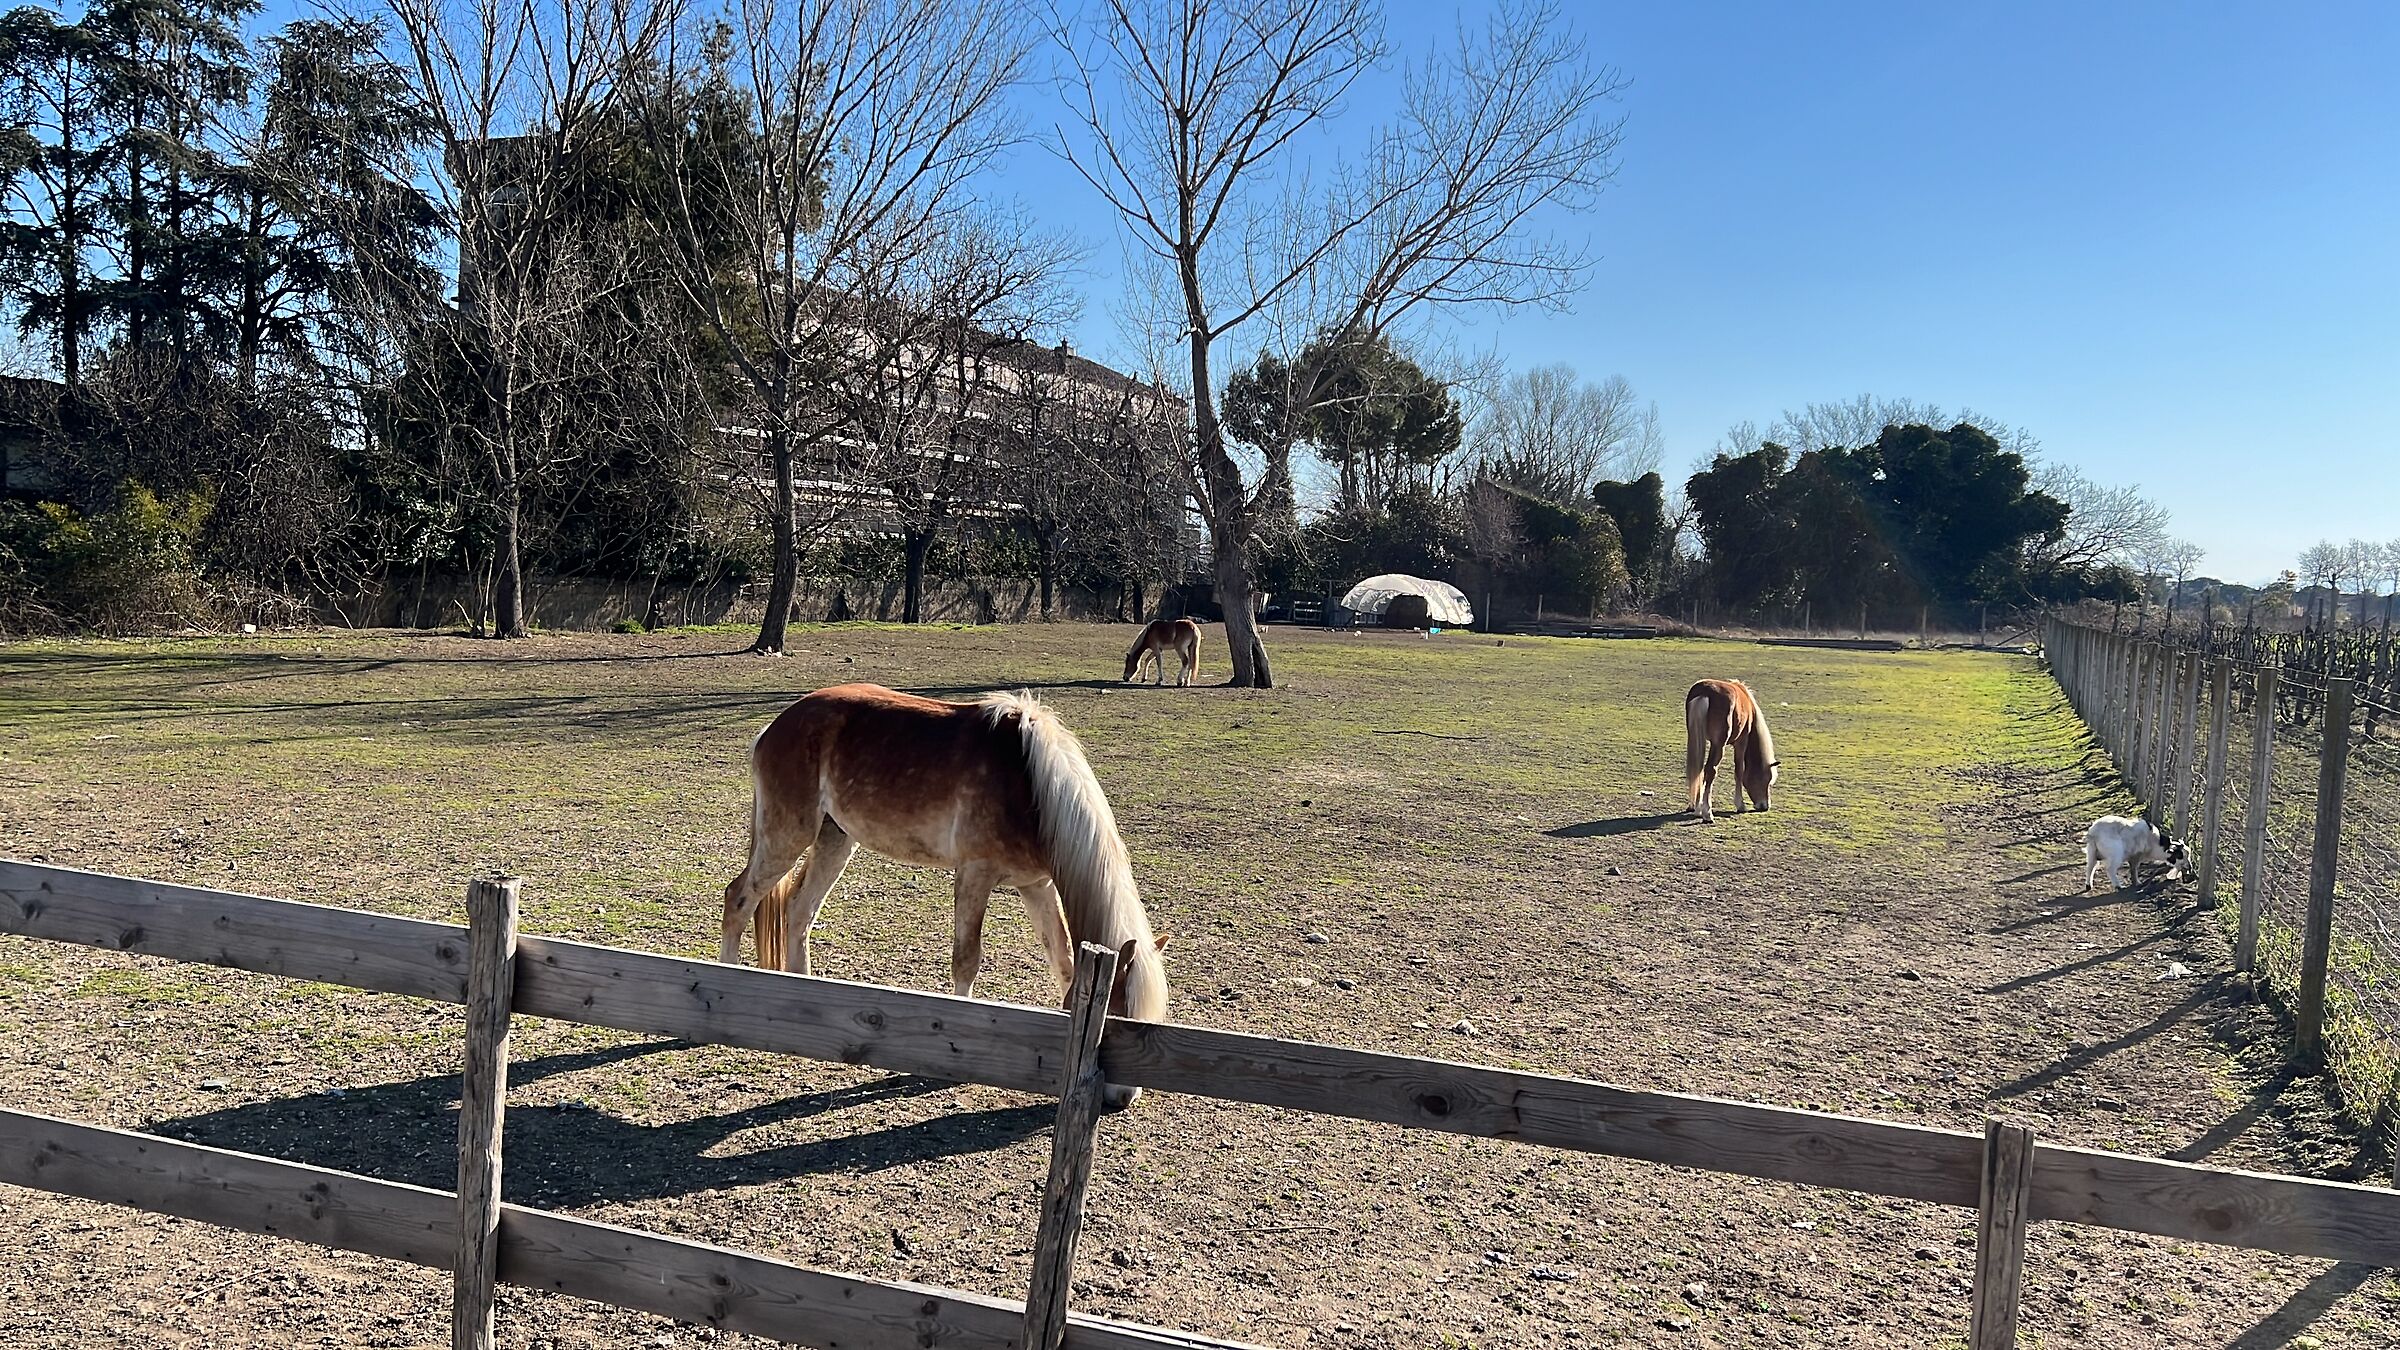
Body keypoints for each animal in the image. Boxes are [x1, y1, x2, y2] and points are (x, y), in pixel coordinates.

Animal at [720, 683, 1169, 1101]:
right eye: (1118, 1018)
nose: (1124, 1097)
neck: (1029, 785)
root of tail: (776, 726)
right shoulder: (974, 875)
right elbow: (966, 961)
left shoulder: (1036, 886)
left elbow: (1063, 961)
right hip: (787, 835)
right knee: (739, 899)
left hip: (835, 838)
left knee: (800, 910)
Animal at [1685, 679, 1779, 823]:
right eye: (1766, 779)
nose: (1765, 806)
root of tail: (1705, 692)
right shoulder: (1741, 742)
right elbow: (1739, 770)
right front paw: (1740, 805)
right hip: (1719, 745)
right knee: (1710, 770)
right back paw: (1707, 813)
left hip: (1695, 736)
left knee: (1698, 769)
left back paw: (1696, 807)